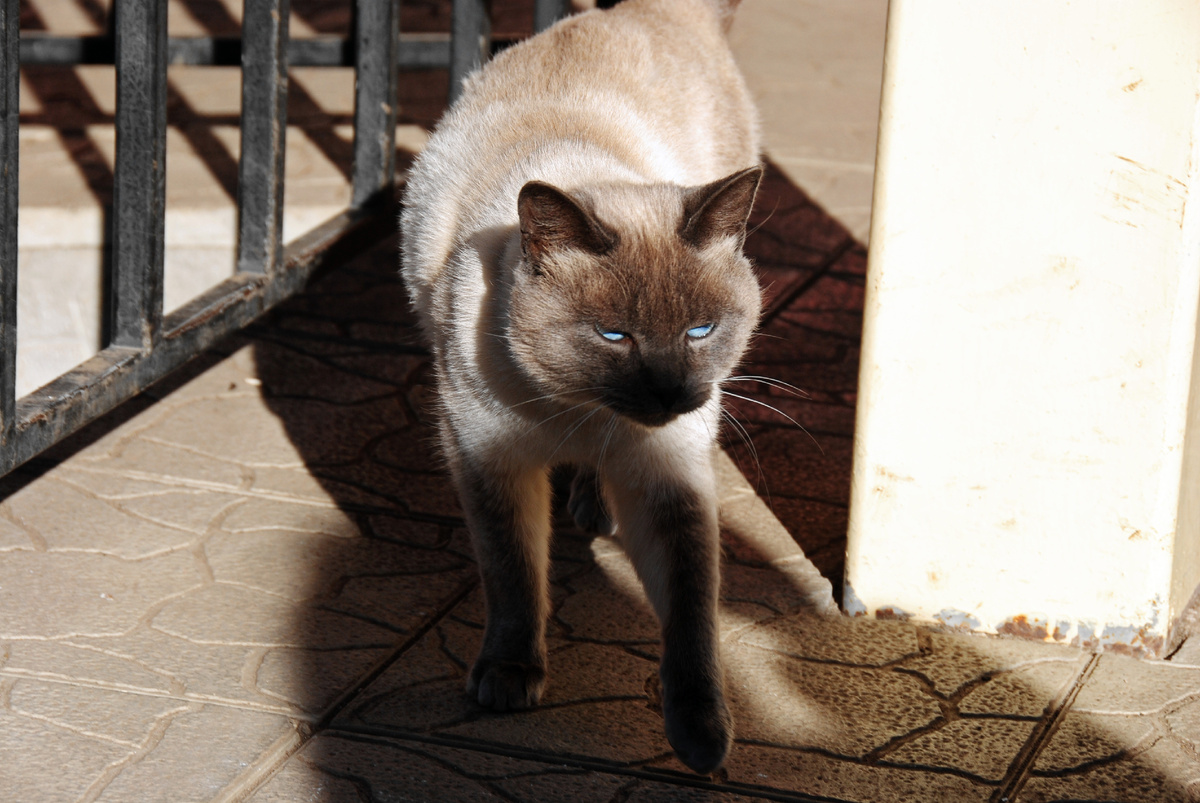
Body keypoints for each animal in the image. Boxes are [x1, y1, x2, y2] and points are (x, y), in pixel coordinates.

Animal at [400, 0, 758, 777]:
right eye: (613, 336)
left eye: (700, 330)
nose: (669, 393)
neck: (584, 413)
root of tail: (651, 10)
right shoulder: (487, 457)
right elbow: (513, 573)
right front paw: (508, 679)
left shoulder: (668, 471)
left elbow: (691, 604)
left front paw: (702, 739)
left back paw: (595, 508)